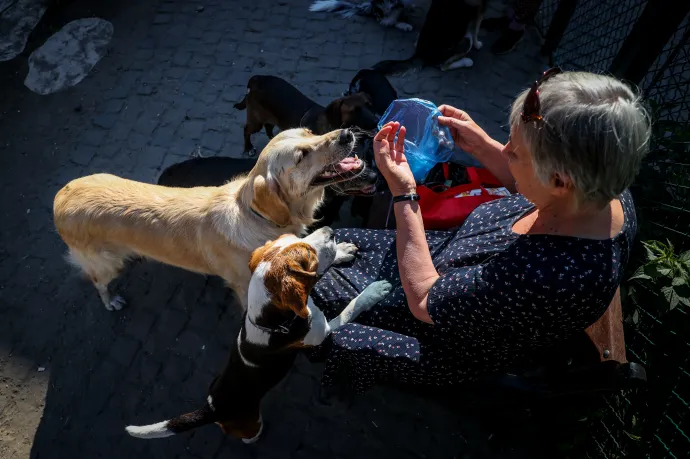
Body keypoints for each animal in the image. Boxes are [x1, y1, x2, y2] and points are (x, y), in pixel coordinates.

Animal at [53, 127, 366, 310]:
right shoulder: (246, 284)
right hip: (106, 264)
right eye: (301, 156)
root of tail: (61, 195)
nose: (347, 134)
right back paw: (111, 301)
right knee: (98, 281)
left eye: (310, 131)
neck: (258, 219)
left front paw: (339, 250)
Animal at [125, 228, 390, 444]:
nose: (330, 230)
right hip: (250, 423)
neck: (270, 321)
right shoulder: (321, 332)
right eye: (309, 254)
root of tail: (212, 408)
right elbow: (351, 308)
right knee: (249, 435)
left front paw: (343, 251)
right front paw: (374, 292)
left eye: (298, 238)